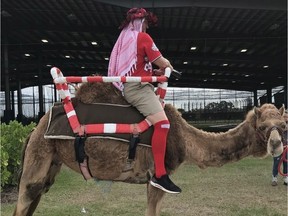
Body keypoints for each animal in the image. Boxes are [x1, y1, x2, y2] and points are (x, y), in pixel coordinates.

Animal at [12, 82, 284, 215]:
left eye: (283, 125)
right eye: (262, 126)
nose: (276, 145)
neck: (183, 138)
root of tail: (34, 130)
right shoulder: (158, 177)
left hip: (50, 166)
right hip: (38, 157)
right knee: (24, 200)